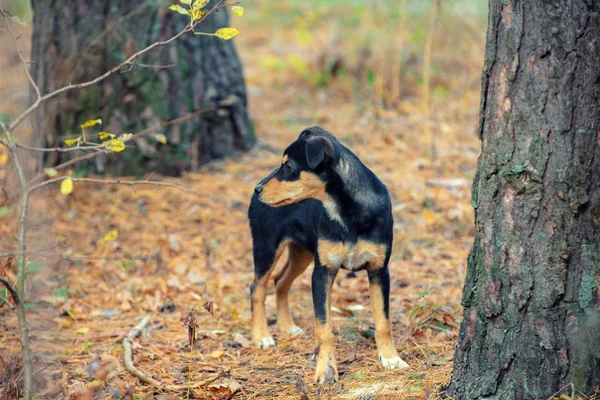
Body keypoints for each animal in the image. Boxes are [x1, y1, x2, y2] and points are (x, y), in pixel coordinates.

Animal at [247, 126, 408, 382]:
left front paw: (390, 358)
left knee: (280, 281)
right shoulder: (323, 271)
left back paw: (287, 327)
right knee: (257, 288)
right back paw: (261, 336)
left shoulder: (379, 270)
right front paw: (326, 369)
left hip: (302, 252)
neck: (348, 212)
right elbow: (324, 327)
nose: (257, 189)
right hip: (267, 246)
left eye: (289, 167)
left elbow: (384, 321)